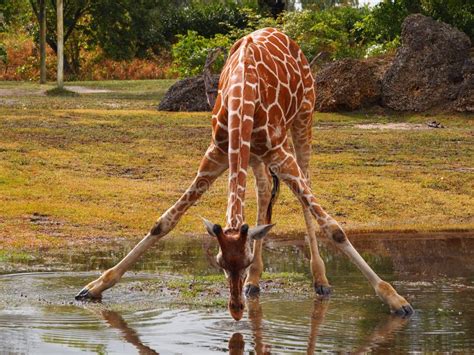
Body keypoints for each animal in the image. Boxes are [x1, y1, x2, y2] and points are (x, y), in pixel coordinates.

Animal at [76, 27, 412, 322]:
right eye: (220, 262)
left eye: (244, 259)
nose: (236, 311)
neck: (243, 94)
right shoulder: (217, 152)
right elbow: (164, 221)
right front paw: (94, 287)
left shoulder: (278, 151)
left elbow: (334, 227)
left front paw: (397, 300)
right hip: (255, 154)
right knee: (263, 190)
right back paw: (255, 282)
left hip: (303, 119)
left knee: (304, 188)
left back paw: (319, 280)